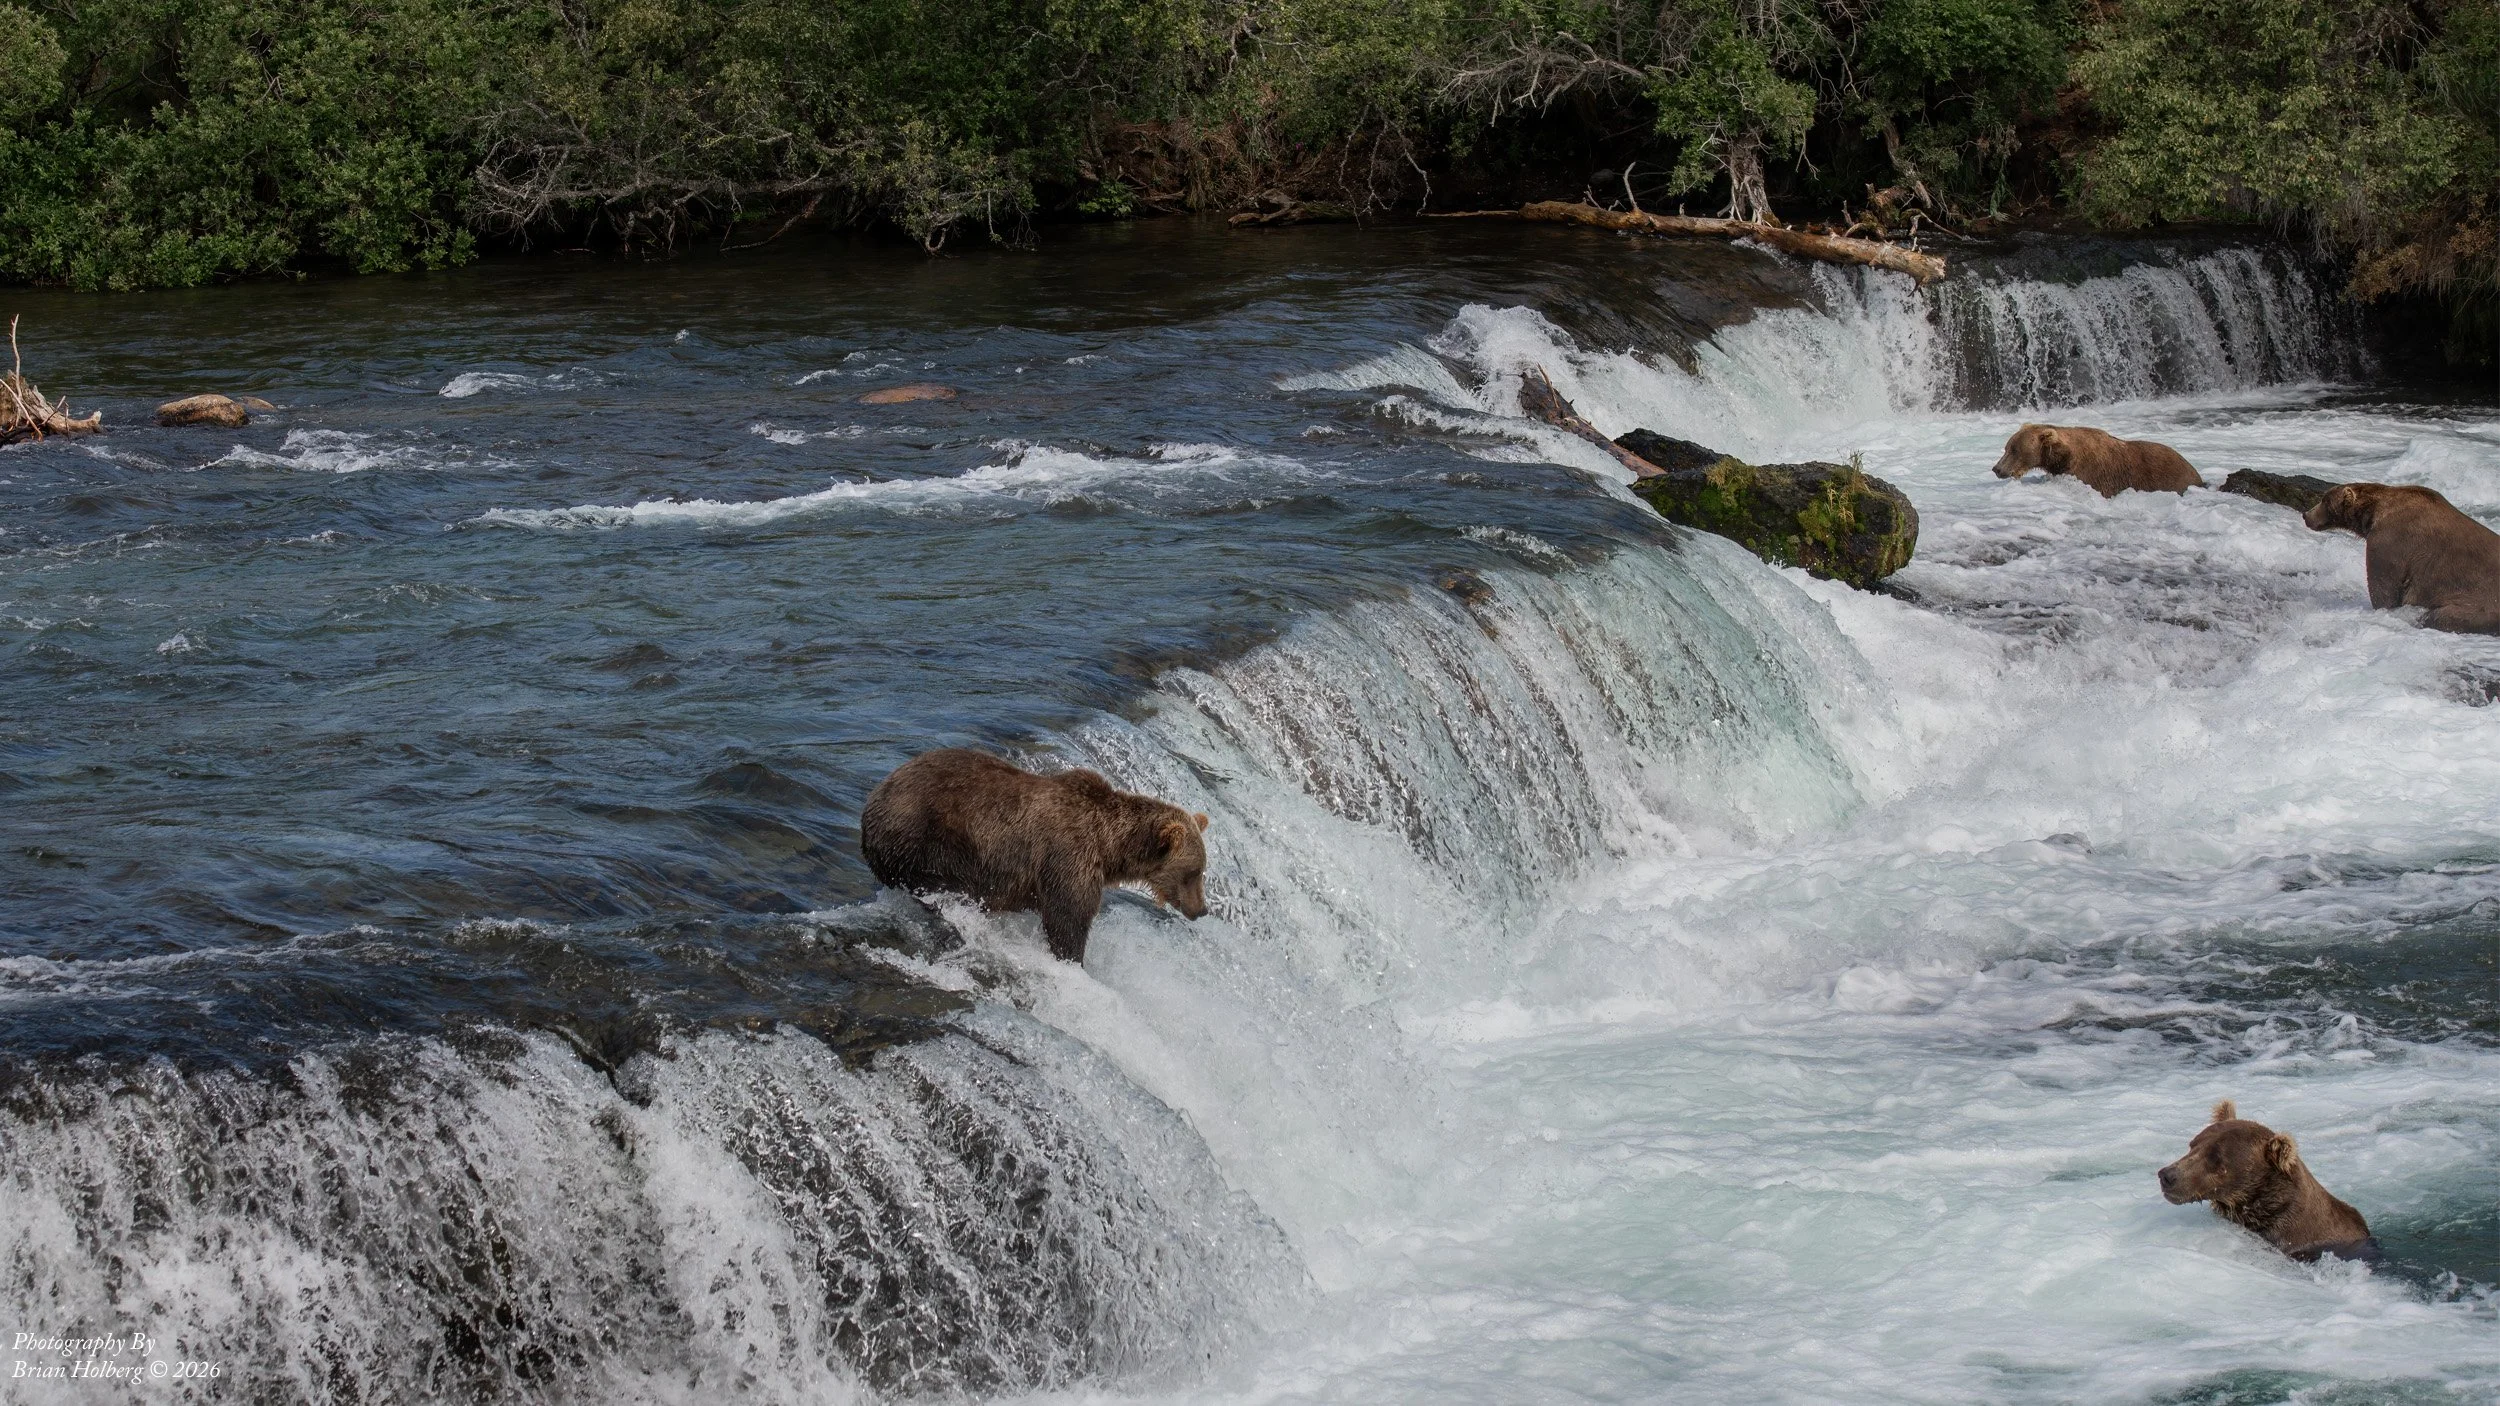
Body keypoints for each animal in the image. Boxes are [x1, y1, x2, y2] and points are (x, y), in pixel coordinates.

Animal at [859, 748, 1209, 963]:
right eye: (1193, 872)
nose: (1202, 910)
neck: (1109, 845)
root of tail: (871, 801)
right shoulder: (1068, 856)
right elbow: (1068, 918)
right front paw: (1072, 959)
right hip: (931, 840)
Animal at [2302, 481, 2500, 635]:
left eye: (2324, 500)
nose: (2305, 515)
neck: (2373, 512)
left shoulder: (2391, 541)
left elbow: (2383, 586)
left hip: (2477, 603)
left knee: (2440, 617)